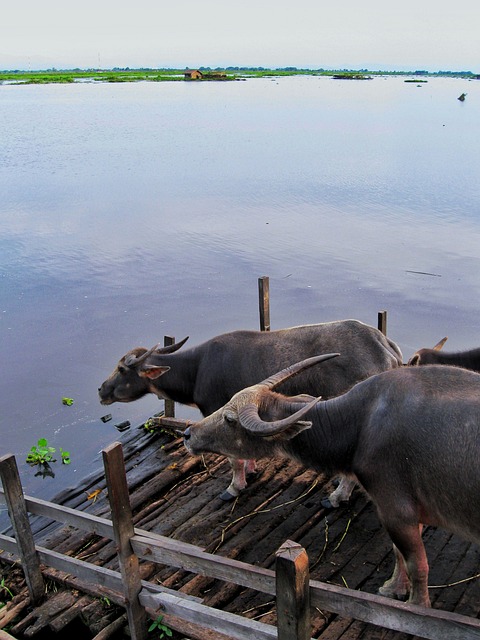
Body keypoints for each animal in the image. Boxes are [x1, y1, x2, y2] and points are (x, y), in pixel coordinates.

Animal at [99, 320, 404, 504]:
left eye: (122, 369)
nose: (101, 390)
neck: (197, 369)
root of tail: (384, 345)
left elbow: (232, 460)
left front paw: (234, 487)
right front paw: (252, 469)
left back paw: (337, 497)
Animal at [182, 358, 480, 608]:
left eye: (229, 418)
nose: (187, 433)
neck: (361, 423)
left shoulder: (395, 509)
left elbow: (417, 564)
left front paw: (416, 607)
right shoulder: (407, 512)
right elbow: (399, 554)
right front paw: (393, 588)